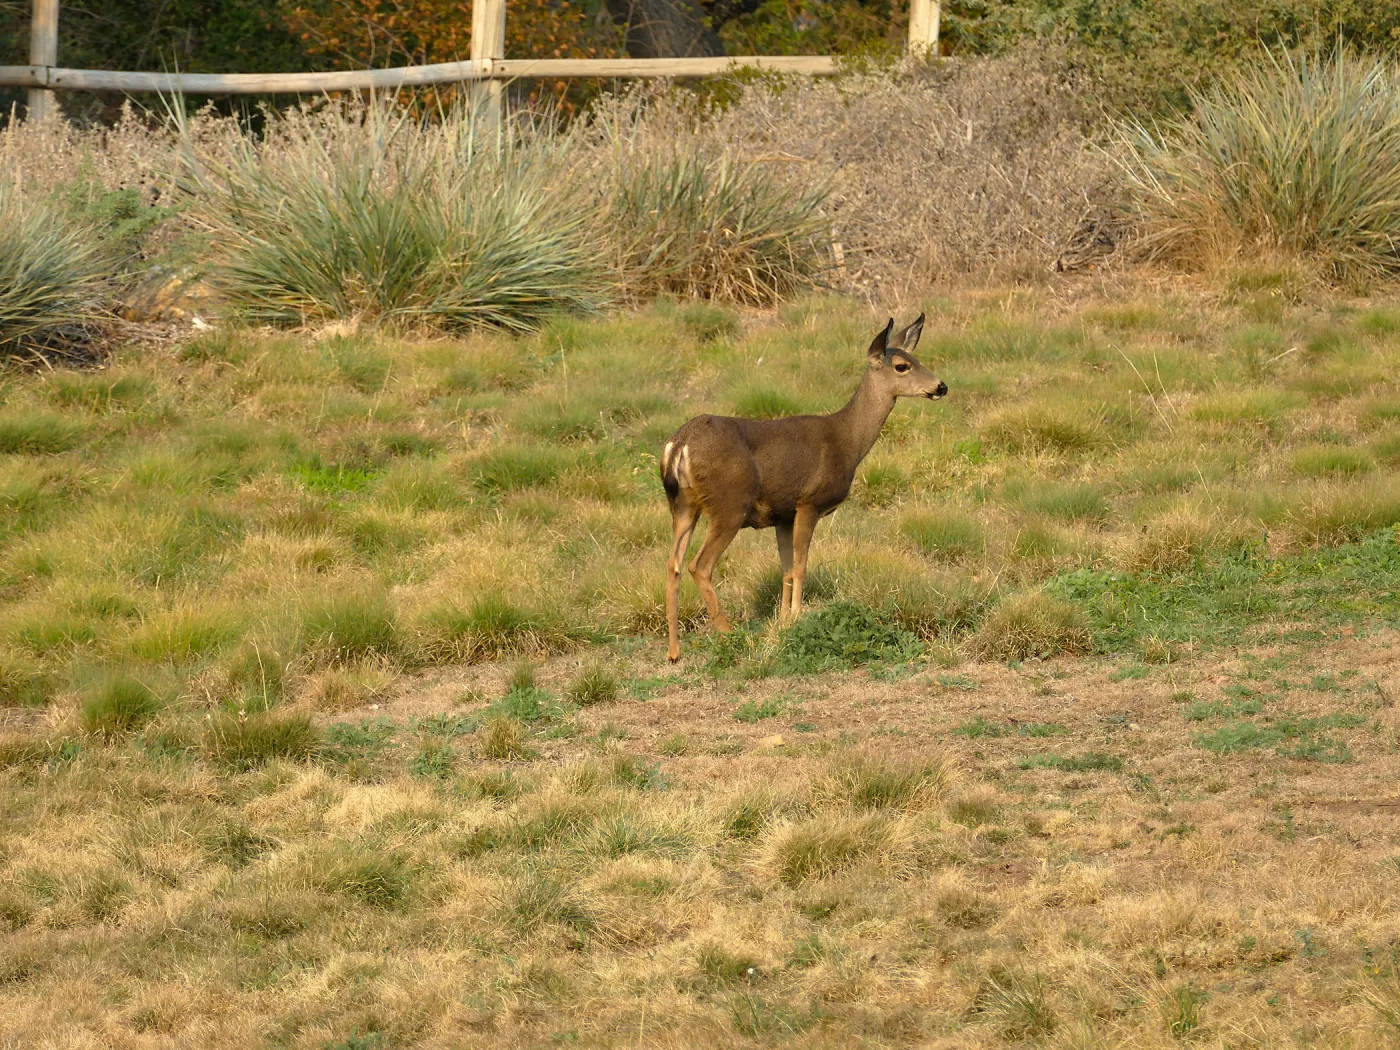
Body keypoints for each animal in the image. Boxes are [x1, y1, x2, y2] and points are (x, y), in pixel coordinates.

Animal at [660, 314, 946, 662]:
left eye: (917, 359)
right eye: (902, 366)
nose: (941, 386)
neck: (847, 440)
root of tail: (679, 445)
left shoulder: (782, 514)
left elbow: (785, 569)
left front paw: (782, 622)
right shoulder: (808, 502)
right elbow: (801, 566)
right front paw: (797, 618)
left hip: (683, 506)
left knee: (672, 564)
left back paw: (674, 651)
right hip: (731, 504)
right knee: (698, 566)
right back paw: (731, 635)